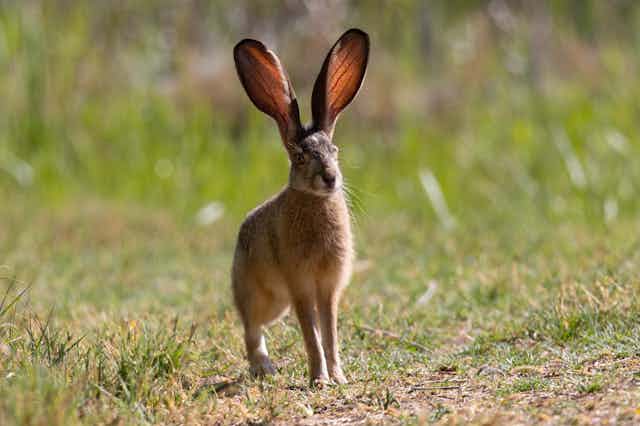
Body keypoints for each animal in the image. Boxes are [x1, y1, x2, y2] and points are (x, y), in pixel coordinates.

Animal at [231, 28, 369, 386]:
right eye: (300, 157)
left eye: (335, 150)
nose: (330, 178)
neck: (315, 202)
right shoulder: (300, 285)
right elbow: (311, 335)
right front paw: (319, 380)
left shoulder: (328, 287)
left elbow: (329, 334)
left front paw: (338, 378)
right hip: (261, 296)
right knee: (251, 327)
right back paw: (263, 368)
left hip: (278, 303)